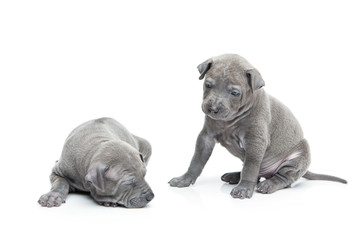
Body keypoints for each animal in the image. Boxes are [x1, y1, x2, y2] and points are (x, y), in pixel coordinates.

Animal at [169, 54, 346, 199]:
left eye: (234, 93)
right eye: (208, 85)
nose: (213, 109)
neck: (231, 120)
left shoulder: (255, 142)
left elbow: (250, 167)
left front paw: (243, 189)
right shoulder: (206, 137)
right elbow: (196, 161)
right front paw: (184, 179)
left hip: (298, 157)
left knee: (283, 177)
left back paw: (268, 184)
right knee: (255, 171)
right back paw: (234, 176)